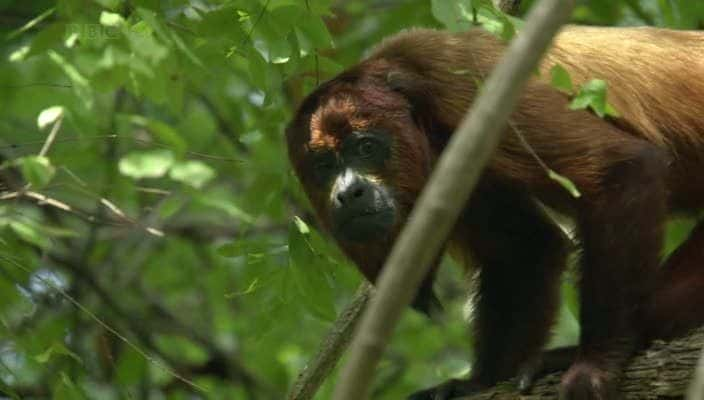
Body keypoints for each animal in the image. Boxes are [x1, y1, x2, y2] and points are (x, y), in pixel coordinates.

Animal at [286, 25, 704, 400]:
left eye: (366, 147)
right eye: (324, 165)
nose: (349, 193)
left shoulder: (467, 87)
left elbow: (620, 169)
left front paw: (595, 366)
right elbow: (523, 248)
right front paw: (478, 382)